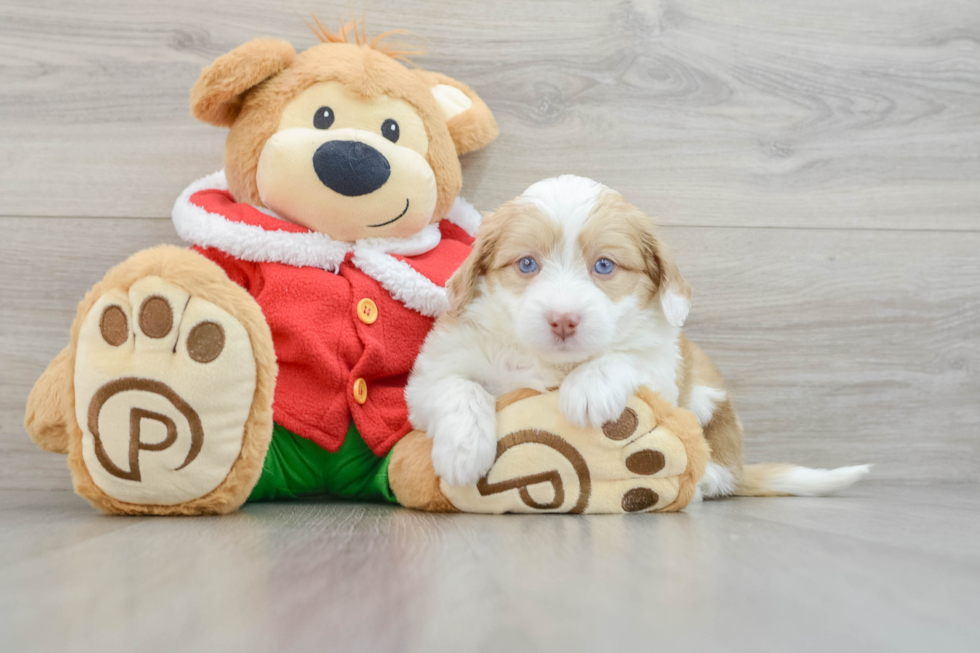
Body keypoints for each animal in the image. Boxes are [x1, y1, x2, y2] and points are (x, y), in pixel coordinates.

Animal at [402, 173, 868, 494]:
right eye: (527, 264)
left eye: (605, 265)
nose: (563, 319)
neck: (555, 364)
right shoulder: (432, 373)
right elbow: (457, 387)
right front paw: (463, 449)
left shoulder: (663, 365)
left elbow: (627, 355)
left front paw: (589, 387)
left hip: (706, 391)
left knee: (720, 460)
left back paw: (708, 480)